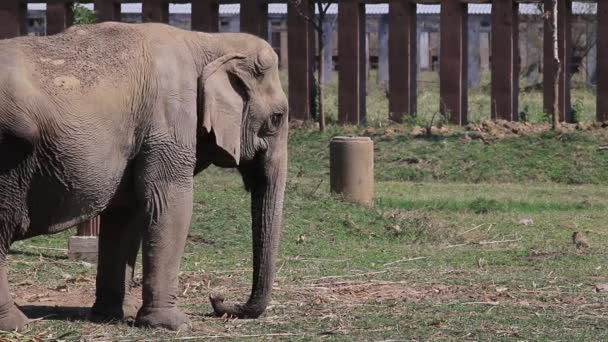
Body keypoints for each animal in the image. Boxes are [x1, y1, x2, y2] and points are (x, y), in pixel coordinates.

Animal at [0, 21, 288, 332]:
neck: (208, 41)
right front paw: (173, 325)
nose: (216, 299)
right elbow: (171, 203)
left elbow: (125, 214)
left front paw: (112, 316)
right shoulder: (169, 120)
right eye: (277, 118)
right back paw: (17, 324)